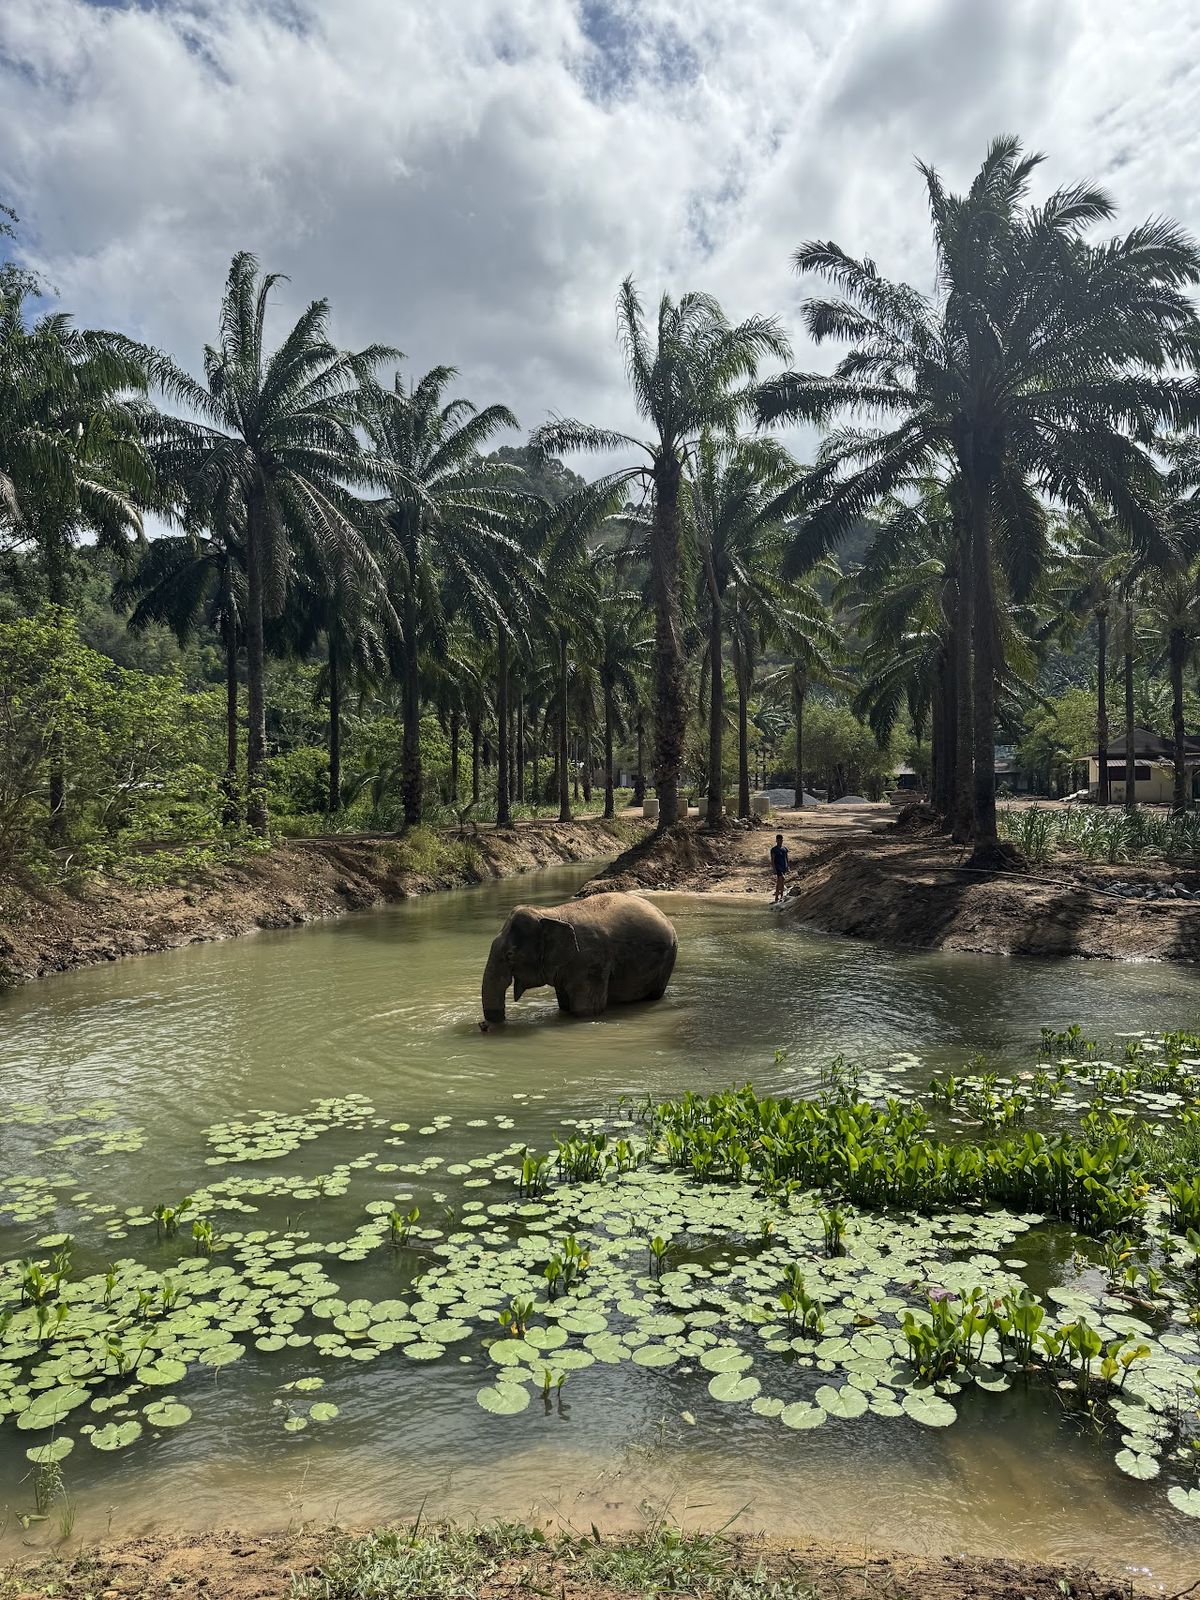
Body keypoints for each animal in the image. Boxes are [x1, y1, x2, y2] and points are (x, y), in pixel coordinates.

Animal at [481, 891, 678, 1023]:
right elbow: (565, 1005)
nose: (484, 1026)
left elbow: (585, 1010)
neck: (551, 913)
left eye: (510, 955)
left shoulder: (591, 962)